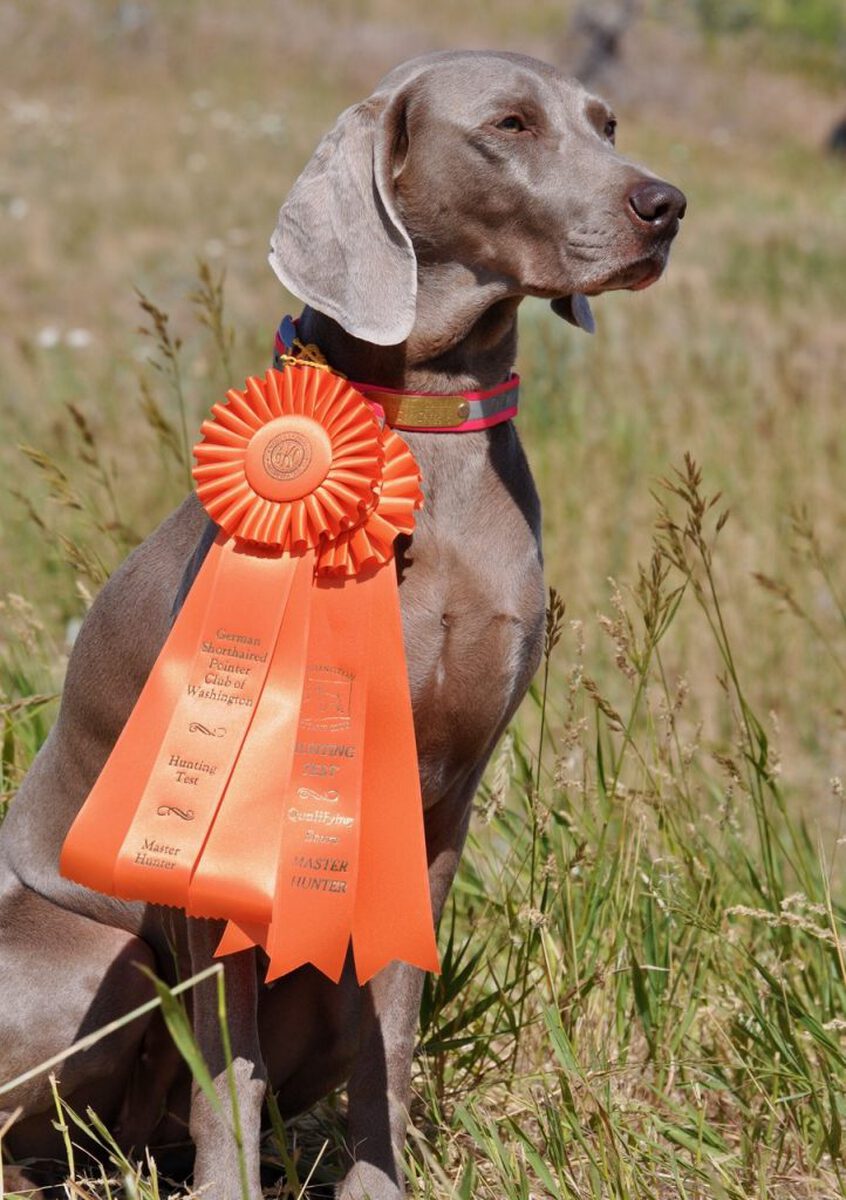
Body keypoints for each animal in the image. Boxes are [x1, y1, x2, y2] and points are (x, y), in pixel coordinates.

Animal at [0, 49, 681, 1200]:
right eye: (510, 123)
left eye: (607, 123)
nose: (665, 205)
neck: (428, 432)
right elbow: (229, 1065)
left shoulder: (436, 808)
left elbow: (391, 1040)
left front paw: (377, 1186)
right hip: (104, 958)